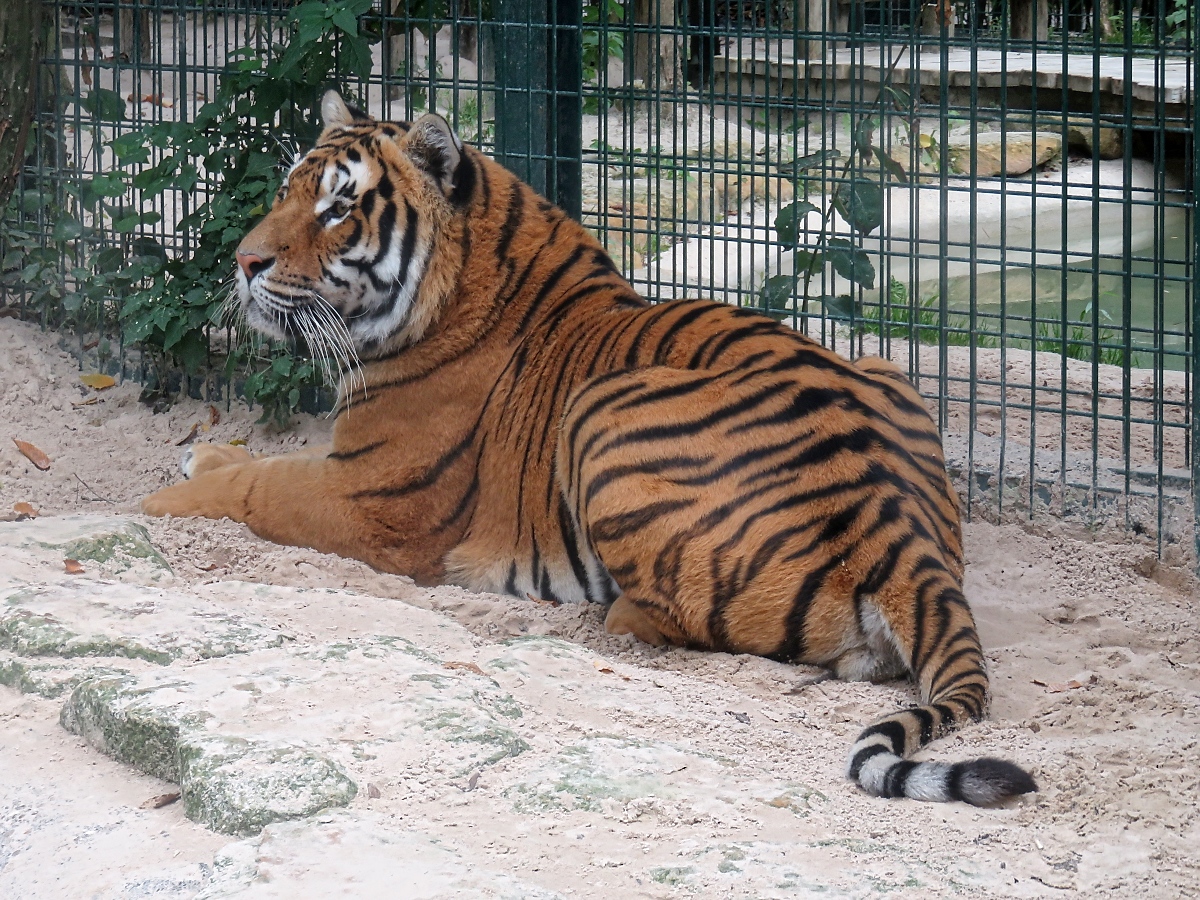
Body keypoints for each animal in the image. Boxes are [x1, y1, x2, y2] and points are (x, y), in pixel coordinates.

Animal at [140, 90, 1036, 811]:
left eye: (337, 210)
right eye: (288, 192)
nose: (243, 261)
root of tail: (903, 533)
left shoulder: (373, 501)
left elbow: (259, 488)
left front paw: (160, 499)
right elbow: (251, 465)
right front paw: (200, 457)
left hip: (599, 409)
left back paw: (610, 611)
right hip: (882, 366)